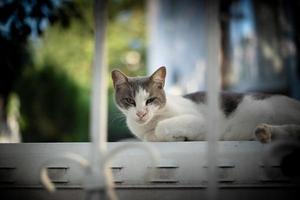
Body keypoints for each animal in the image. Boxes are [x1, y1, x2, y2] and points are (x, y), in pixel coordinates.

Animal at [111, 66, 300, 143]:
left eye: (150, 100)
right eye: (130, 101)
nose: (141, 113)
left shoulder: (202, 122)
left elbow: (161, 127)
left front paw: (169, 134)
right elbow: (149, 136)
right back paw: (264, 132)